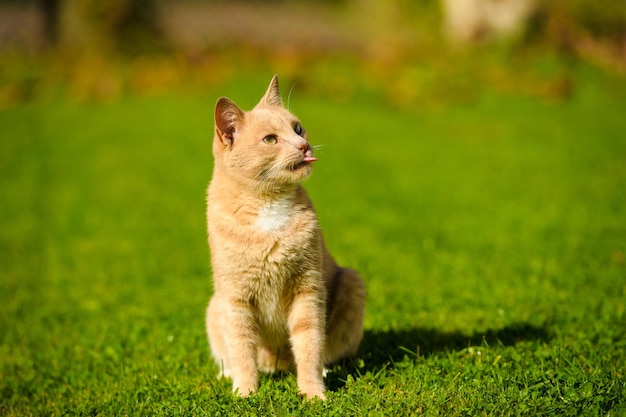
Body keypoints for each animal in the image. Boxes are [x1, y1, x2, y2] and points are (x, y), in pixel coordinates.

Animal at [204, 75, 366, 400]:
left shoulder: (307, 290)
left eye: (298, 128)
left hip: (352, 282)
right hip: (215, 306)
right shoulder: (235, 299)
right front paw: (245, 392)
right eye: (270, 140)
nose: (303, 146)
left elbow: (309, 344)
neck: (267, 203)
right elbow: (241, 348)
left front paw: (313, 392)